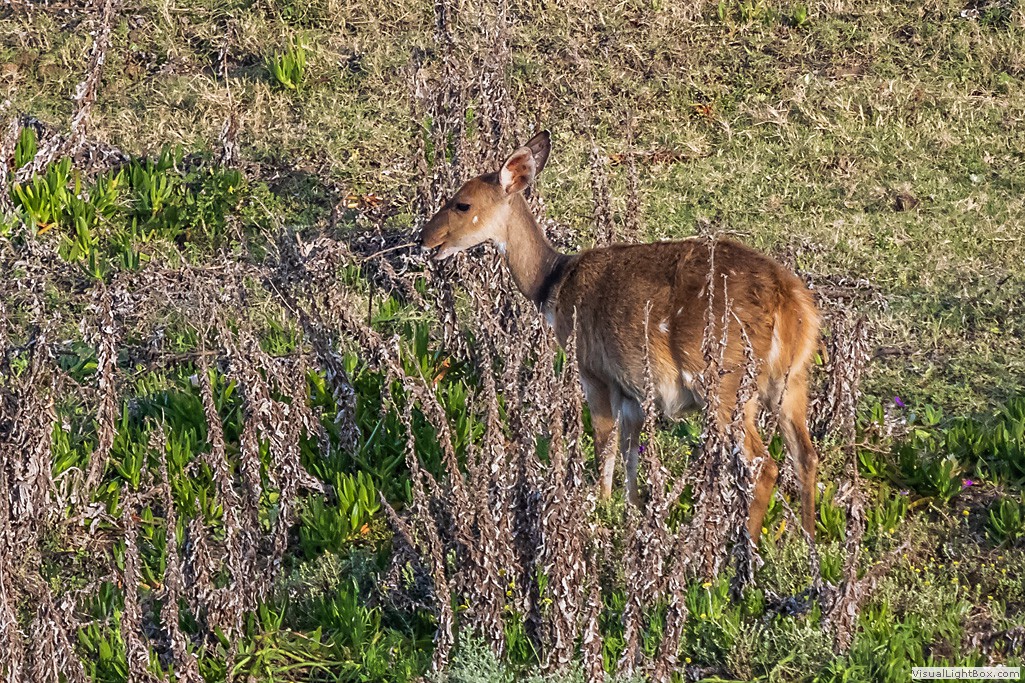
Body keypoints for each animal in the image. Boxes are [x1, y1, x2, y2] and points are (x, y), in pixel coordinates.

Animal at [420, 131, 822, 541]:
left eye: (462, 204)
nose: (424, 239)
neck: (553, 286)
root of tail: (792, 306)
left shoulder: (594, 369)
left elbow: (605, 444)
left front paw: (601, 510)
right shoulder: (633, 388)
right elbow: (630, 453)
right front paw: (633, 512)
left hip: (724, 383)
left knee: (765, 464)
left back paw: (746, 546)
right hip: (791, 381)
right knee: (805, 454)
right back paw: (807, 540)